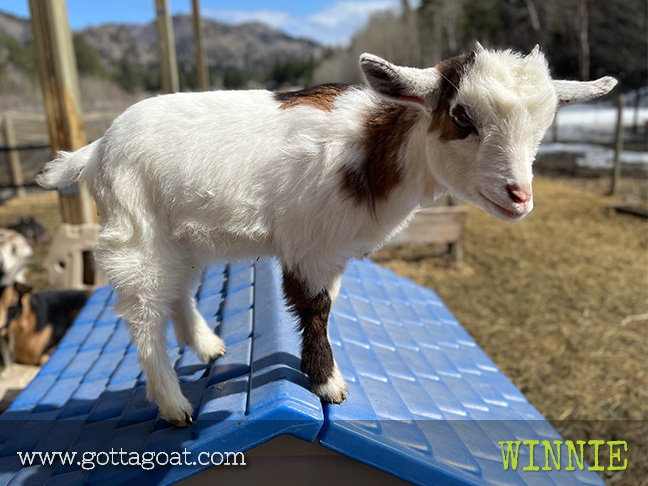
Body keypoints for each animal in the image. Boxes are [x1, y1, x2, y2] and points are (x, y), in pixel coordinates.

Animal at [37, 44, 617, 427]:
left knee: (176, 290)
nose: (519, 196)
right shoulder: (308, 245)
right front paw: (327, 383)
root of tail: (97, 149)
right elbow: (314, 309)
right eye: (461, 116)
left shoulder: (333, 251)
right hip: (135, 233)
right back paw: (174, 405)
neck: (374, 153)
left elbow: (329, 304)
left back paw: (206, 345)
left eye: (543, 128)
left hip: (179, 237)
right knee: (142, 314)